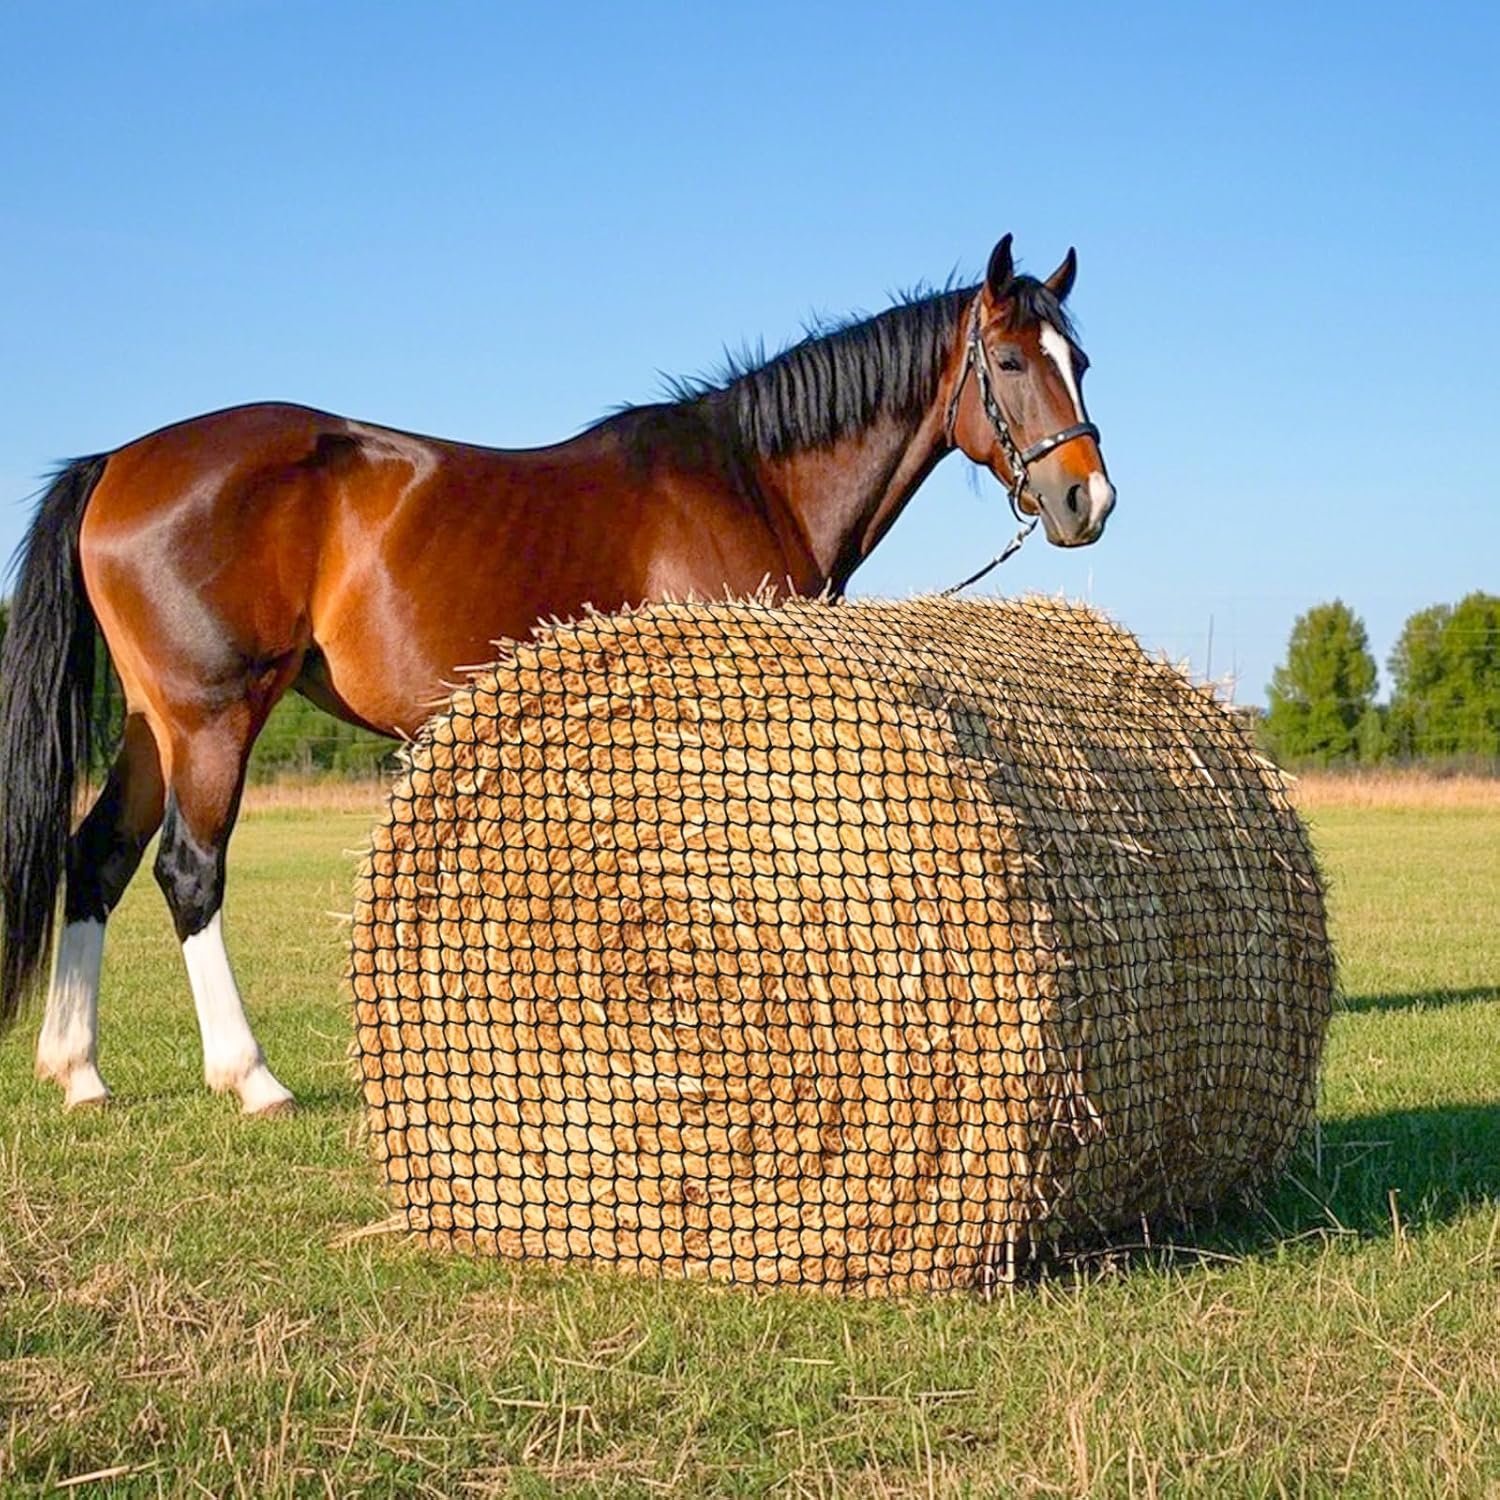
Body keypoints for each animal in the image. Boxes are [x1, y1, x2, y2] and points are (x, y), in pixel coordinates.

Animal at [0, 233, 1114, 1116]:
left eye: (1083, 360)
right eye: (1009, 359)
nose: (1086, 500)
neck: (749, 479)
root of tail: (120, 460)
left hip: (155, 726)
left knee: (94, 858)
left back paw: (78, 1071)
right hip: (214, 717)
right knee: (187, 870)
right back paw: (250, 1077)